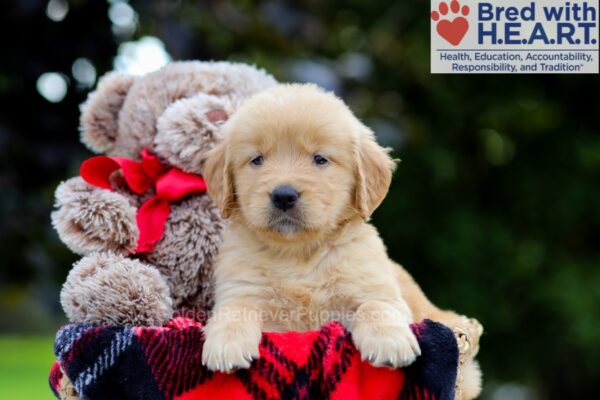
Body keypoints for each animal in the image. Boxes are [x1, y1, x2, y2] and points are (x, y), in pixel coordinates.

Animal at [202, 83, 482, 396]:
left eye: (320, 159)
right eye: (257, 159)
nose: (283, 196)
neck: (299, 254)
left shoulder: (378, 289)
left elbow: (375, 306)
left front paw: (389, 342)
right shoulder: (241, 289)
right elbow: (236, 308)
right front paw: (226, 344)